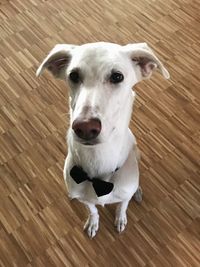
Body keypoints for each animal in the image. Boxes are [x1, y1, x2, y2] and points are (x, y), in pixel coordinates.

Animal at [36, 42, 170, 239]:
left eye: (117, 76)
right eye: (73, 75)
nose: (84, 127)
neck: (98, 161)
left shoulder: (124, 196)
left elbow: (122, 206)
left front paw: (120, 218)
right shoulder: (85, 199)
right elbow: (92, 210)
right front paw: (93, 223)